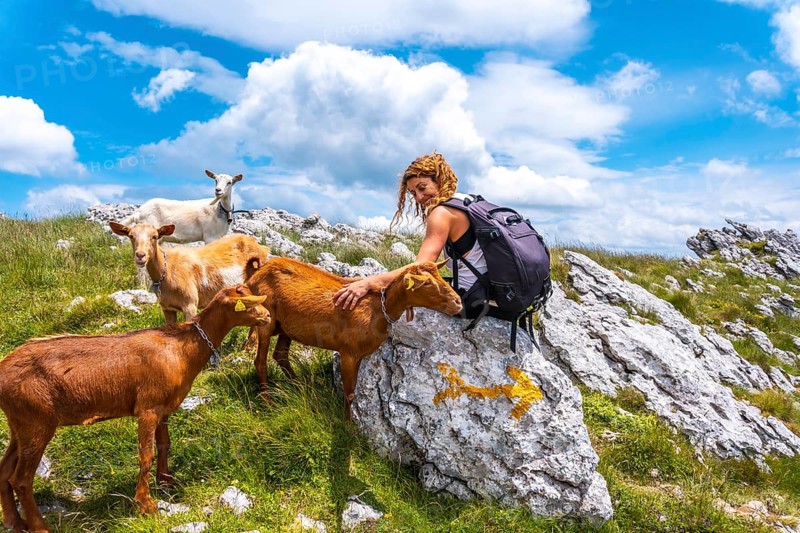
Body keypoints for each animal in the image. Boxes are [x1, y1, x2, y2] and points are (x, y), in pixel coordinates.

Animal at [0, 285, 269, 533]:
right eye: (247, 303)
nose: (267, 316)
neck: (180, 349)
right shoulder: (147, 408)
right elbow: (146, 454)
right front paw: (145, 504)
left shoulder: (163, 407)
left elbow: (164, 444)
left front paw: (166, 481)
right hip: (37, 423)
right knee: (21, 479)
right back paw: (39, 527)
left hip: (19, 424)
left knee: (5, 470)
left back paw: (15, 522)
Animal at [110, 221, 270, 325]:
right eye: (131, 236)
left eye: (155, 236)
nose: (140, 256)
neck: (167, 271)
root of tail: (262, 247)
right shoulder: (167, 308)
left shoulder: (190, 304)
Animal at [245, 257, 462, 417]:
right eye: (425, 282)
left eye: (441, 277)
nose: (458, 302)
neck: (378, 308)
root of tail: (257, 272)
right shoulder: (348, 353)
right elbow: (349, 393)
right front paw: (348, 424)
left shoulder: (360, 355)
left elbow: (353, 391)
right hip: (266, 320)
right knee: (260, 361)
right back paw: (268, 401)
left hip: (286, 327)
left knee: (280, 355)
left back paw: (302, 386)